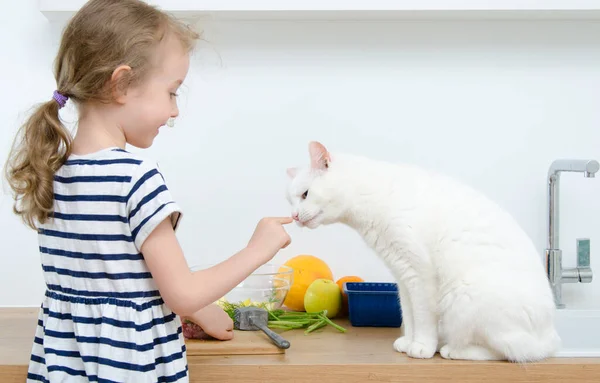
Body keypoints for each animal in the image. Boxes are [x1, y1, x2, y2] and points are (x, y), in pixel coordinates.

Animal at [284, 142, 556, 364]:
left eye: (305, 194)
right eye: (291, 202)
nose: (295, 216)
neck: (373, 195)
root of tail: (549, 336)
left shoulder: (420, 273)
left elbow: (423, 317)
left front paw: (423, 347)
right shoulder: (403, 275)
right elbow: (410, 314)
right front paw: (408, 342)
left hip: (465, 299)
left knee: (513, 352)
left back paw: (452, 350)